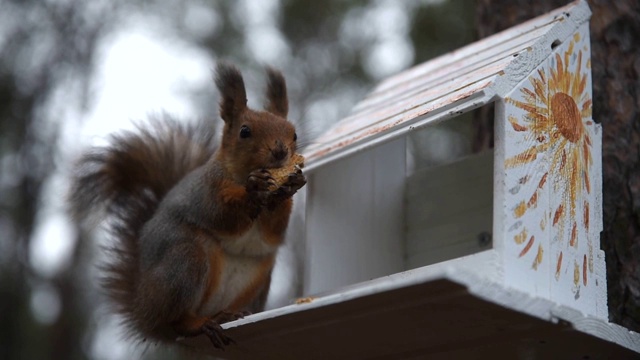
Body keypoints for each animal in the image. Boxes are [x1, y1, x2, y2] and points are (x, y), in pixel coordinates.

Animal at [70, 62, 308, 348]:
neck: (241, 175)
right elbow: (222, 214)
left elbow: (273, 230)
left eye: (294, 133)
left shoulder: (270, 228)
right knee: (176, 321)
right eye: (245, 131)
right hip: (186, 262)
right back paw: (199, 324)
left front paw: (292, 183)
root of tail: (144, 311)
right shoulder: (205, 192)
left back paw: (227, 314)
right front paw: (254, 189)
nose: (281, 152)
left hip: (258, 278)